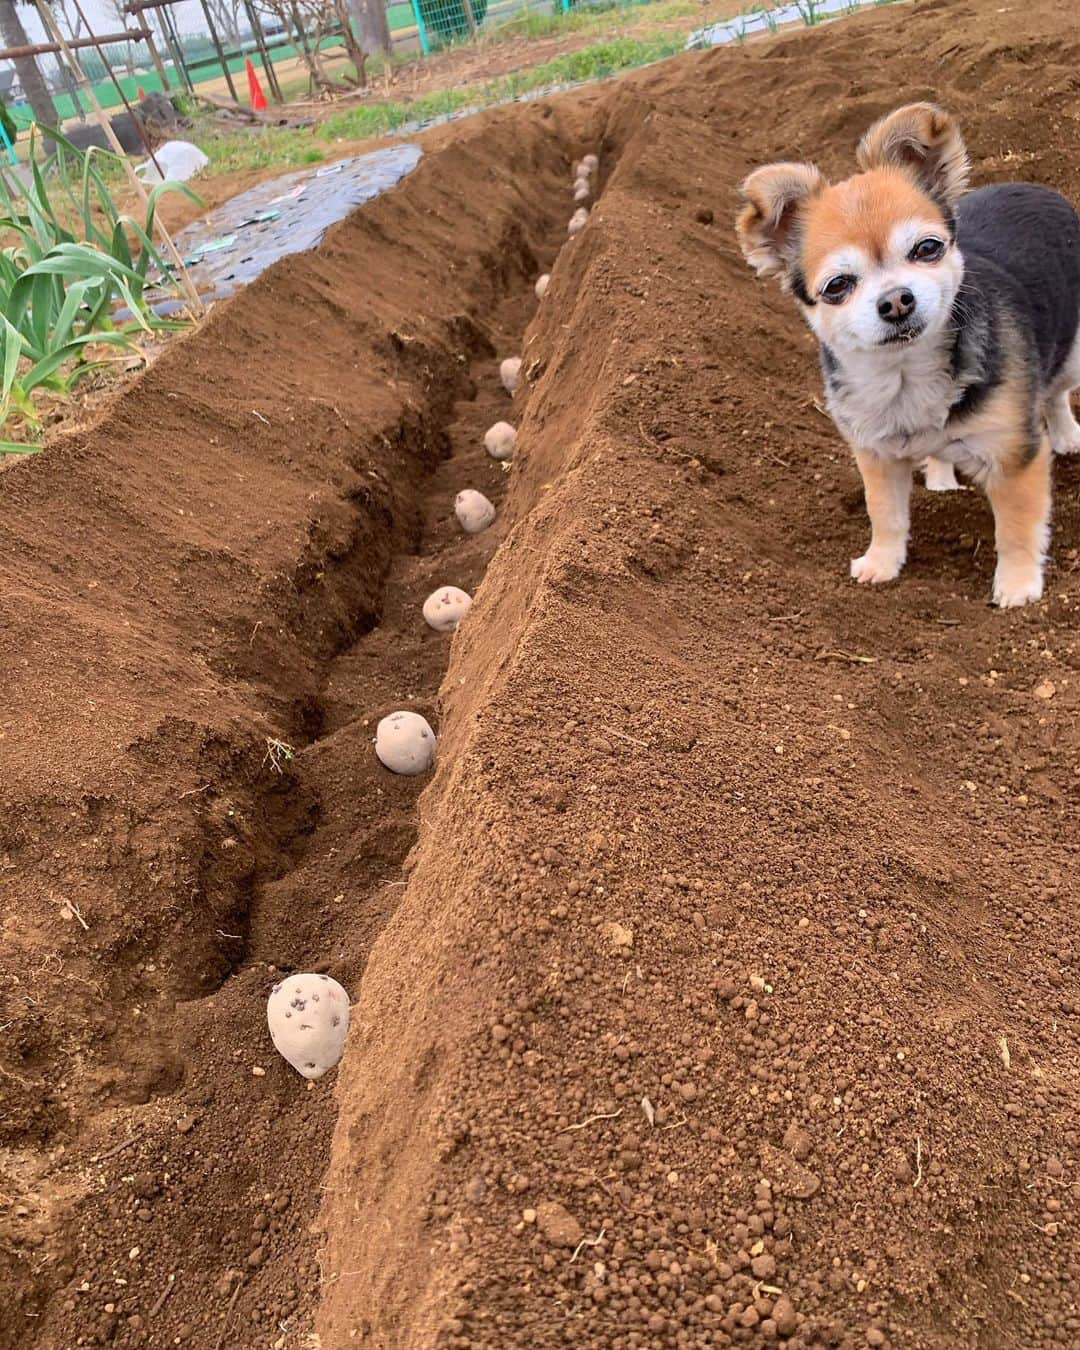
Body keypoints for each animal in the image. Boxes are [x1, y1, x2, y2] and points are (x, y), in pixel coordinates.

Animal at [734, 105, 1080, 607]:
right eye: (837, 286)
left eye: (927, 248)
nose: (896, 301)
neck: (906, 376)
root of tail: (1036, 187)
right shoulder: (876, 456)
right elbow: (886, 515)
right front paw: (882, 563)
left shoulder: (1014, 456)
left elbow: (1016, 528)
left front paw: (1017, 586)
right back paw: (940, 477)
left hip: (1075, 353)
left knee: (1056, 391)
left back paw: (1067, 434)